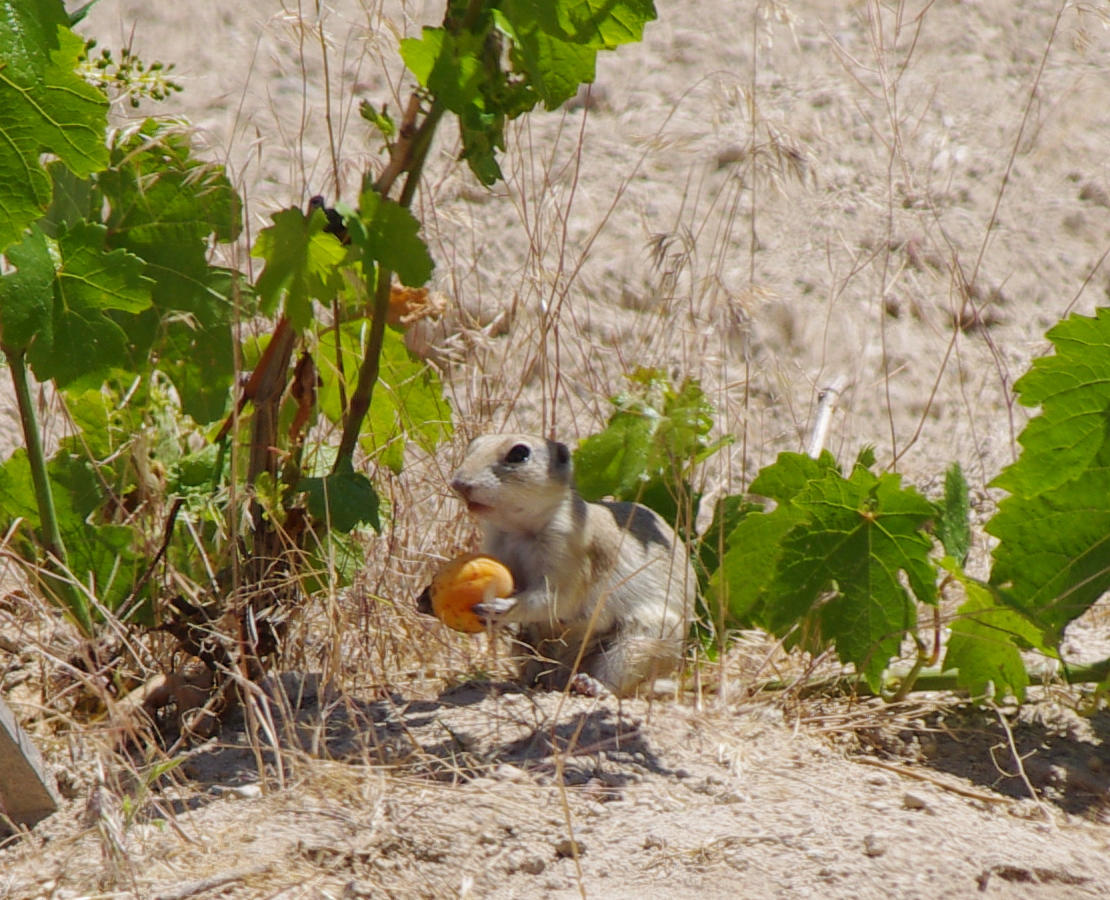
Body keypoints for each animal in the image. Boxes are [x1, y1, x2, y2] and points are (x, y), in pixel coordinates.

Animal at [444, 432, 688, 701]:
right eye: (473, 446)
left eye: (519, 453)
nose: (459, 483)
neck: (520, 530)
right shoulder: (497, 546)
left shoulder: (569, 553)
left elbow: (553, 599)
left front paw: (501, 607)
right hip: (527, 647)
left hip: (642, 642)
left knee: (620, 684)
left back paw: (591, 685)